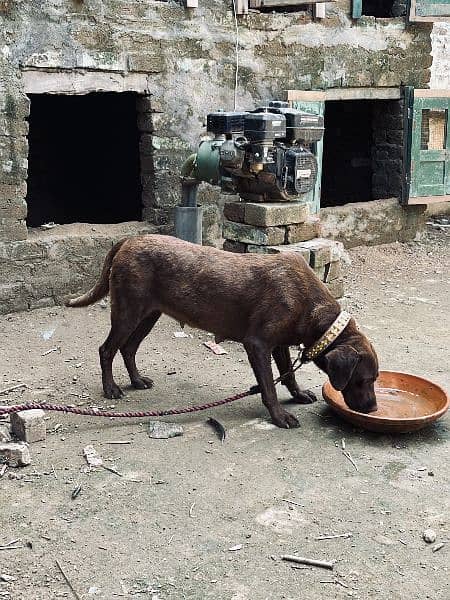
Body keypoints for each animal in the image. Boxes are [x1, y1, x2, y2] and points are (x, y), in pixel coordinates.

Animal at [67, 233, 378, 426]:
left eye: (375, 379)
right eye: (363, 380)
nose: (374, 408)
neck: (312, 307)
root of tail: (131, 239)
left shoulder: (279, 345)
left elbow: (288, 375)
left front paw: (298, 395)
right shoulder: (257, 344)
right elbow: (269, 386)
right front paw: (279, 416)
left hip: (148, 315)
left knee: (128, 348)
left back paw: (136, 380)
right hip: (128, 312)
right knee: (107, 349)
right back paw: (111, 388)